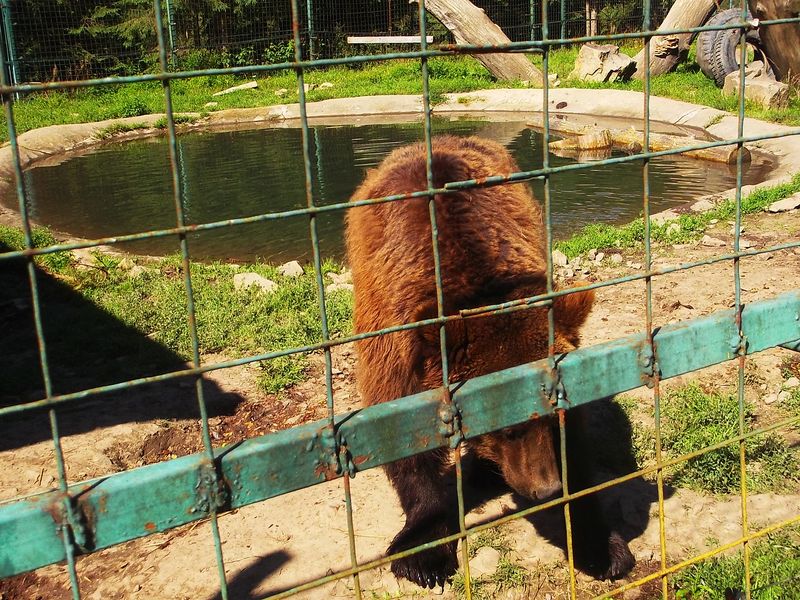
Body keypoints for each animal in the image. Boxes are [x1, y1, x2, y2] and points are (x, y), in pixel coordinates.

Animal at [344, 135, 635, 589]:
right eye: (508, 427)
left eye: (551, 418)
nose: (545, 488)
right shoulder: (394, 340)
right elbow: (402, 436)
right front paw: (423, 554)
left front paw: (601, 546)